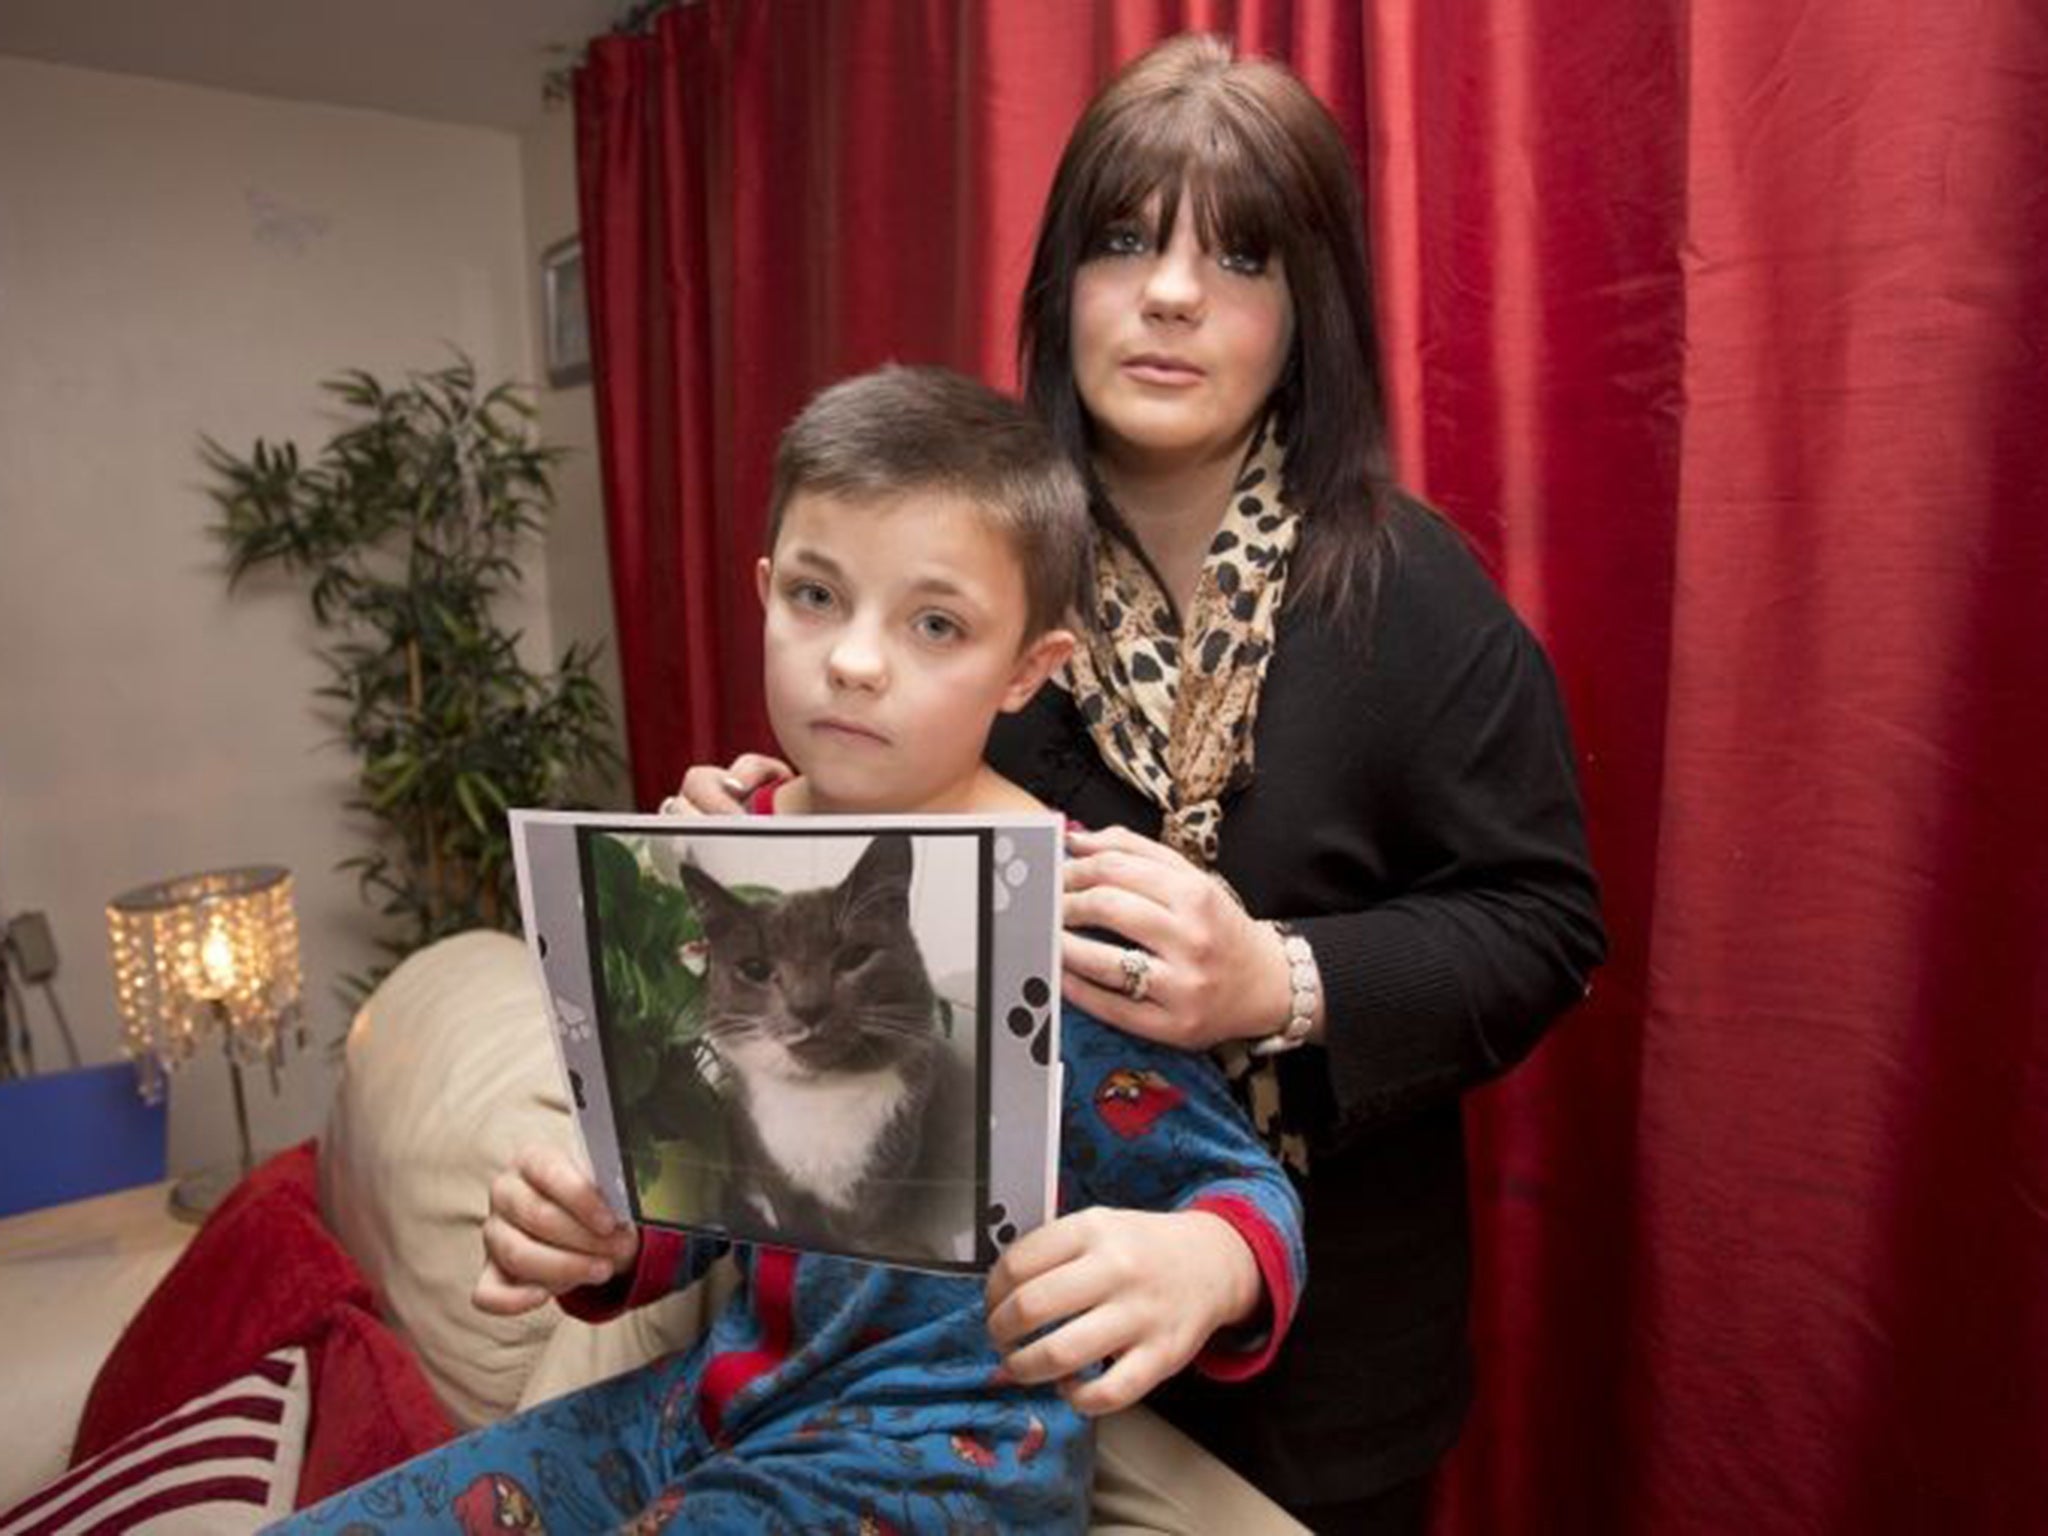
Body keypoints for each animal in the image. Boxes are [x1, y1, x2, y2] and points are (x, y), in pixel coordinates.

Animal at [679, 835, 974, 1269]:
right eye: (755, 969)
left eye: (855, 956)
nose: (808, 1007)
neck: (822, 1091)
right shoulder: (770, 1165)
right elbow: (796, 1220)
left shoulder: (886, 1175)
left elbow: (863, 1232)